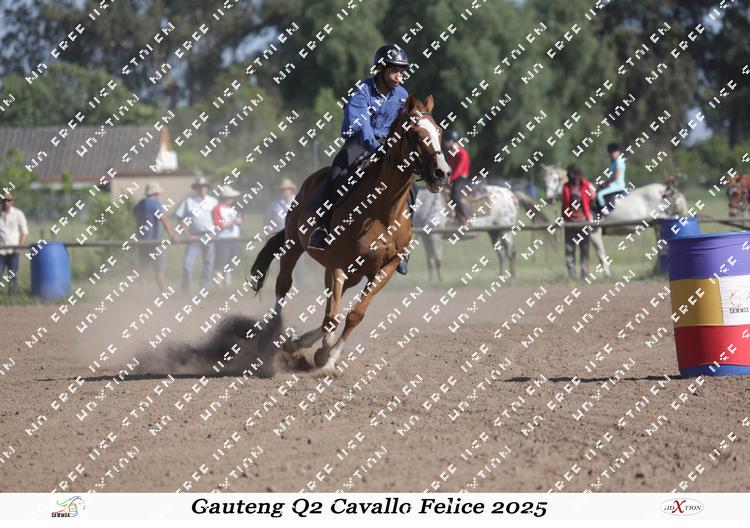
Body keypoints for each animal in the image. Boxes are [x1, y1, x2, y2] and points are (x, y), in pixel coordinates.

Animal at [250, 95, 451, 376]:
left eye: (439, 131)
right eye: (413, 134)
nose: (442, 172)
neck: (382, 213)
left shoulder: (385, 268)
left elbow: (354, 315)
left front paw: (327, 357)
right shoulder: (338, 265)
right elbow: (332, 316)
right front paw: (322, 355)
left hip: (353, 274)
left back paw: (306, 344)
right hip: (293, 245)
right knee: (284, 286)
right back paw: (276, 338)